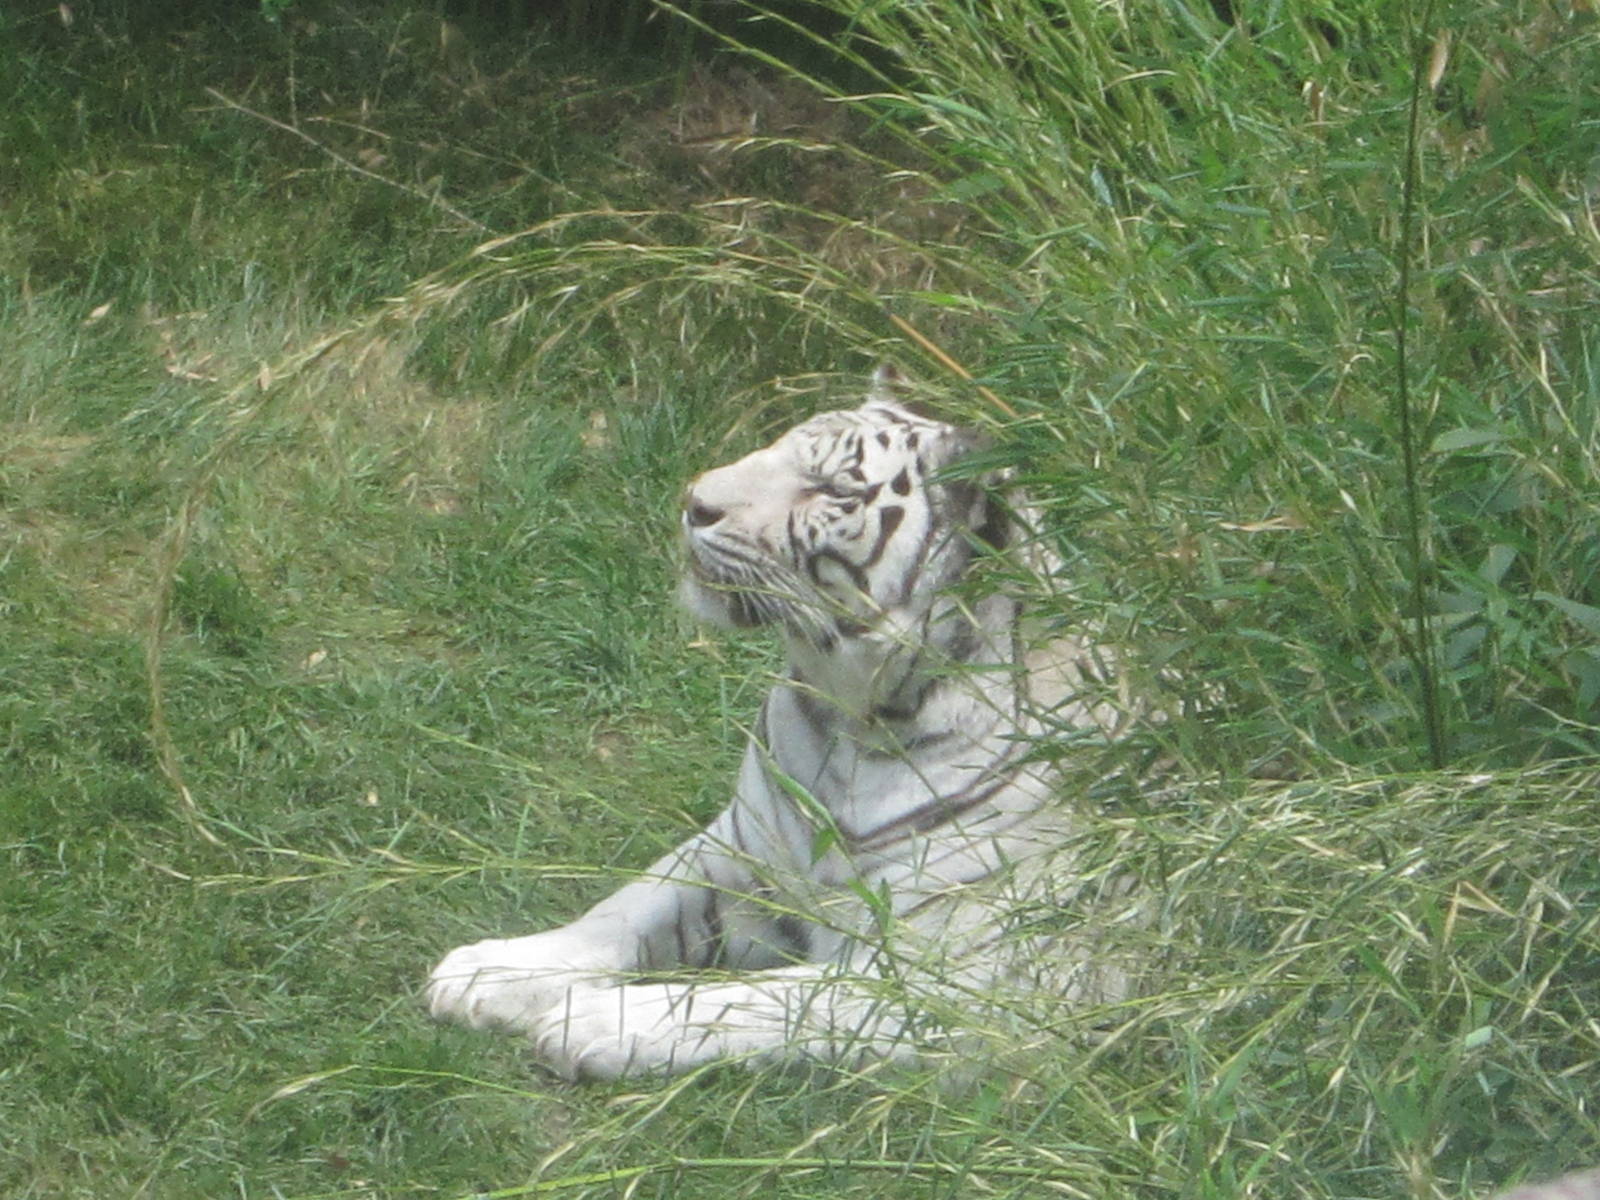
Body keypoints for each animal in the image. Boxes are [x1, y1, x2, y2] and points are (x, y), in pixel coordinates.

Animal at [426, 366, 1145, 1081]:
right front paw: (490, 971)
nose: (693, 501)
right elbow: (623, 909)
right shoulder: (739, 856)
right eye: (773, 448)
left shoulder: (959, 982)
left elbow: (760, 1001)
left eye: (830, 489)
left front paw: (597, 1020)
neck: (851, 717)